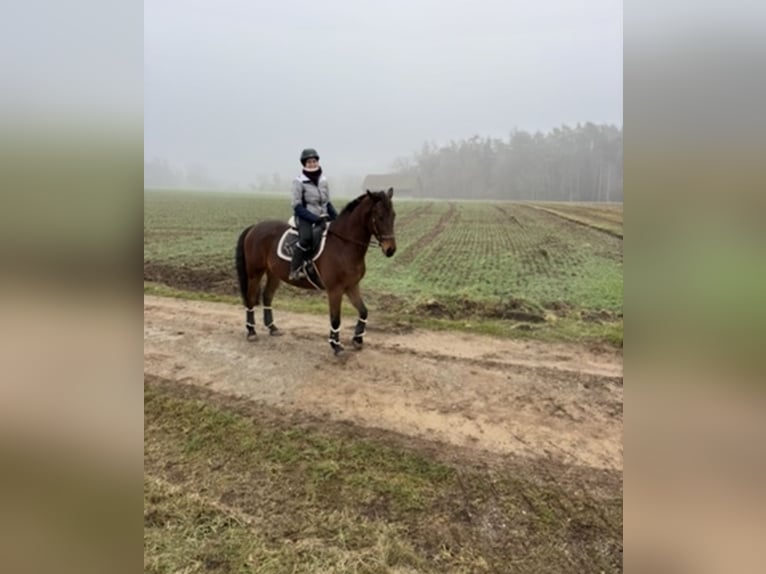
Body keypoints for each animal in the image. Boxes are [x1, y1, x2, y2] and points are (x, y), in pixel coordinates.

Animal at [235, 188, 397, 354]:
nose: (390, 249)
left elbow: (363, 310)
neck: (344, 245)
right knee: (250, 299)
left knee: (267, 297)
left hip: (273, 274)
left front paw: (357, 339)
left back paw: (272, 328)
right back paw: (251, 332)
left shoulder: (351, 286)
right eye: (379, 217)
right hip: (254, 274)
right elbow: (335, 319)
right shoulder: (335, 290)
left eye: (393, 215)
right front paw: (336, 345)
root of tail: (254, 227)